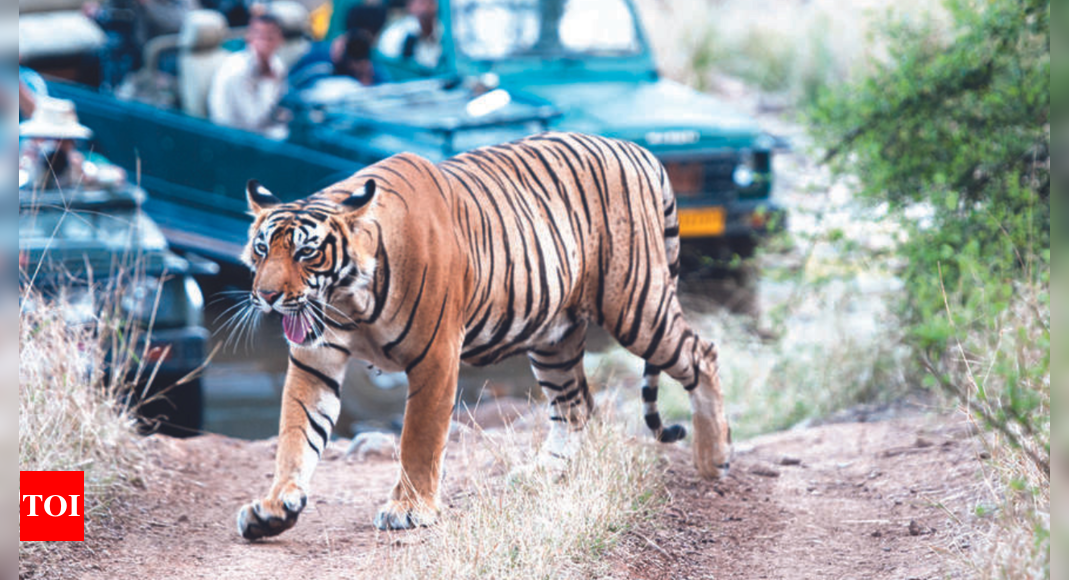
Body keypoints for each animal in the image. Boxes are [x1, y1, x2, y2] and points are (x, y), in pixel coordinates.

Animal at [234, 131, 735, 540]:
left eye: (306, 253)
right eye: (261, 249)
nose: (267, 296)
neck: (349, 299)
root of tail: (638, 150)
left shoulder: (435, 357)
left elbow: (418, 437)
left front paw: (409, 509)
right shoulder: (314, 360)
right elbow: (296, 434)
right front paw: (274, 508)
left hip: (636, 304)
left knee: (703, 354)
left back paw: (714, 458)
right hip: (554, 337)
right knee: (575, 406)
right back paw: (542, 474)